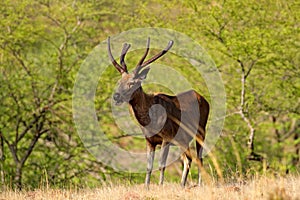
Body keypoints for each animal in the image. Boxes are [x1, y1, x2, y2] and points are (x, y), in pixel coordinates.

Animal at [107, 36, 209, 188]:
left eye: (132, 83)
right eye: (119, 81)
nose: (116, 96)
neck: (150, 122)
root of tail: (203, 99)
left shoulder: (167, 137)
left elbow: (161, 165)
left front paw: (160, 185)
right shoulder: (149, 140)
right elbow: (149, 166)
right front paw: (146, 187)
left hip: (201, 131)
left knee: (199, 158)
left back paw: (199, 184)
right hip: (183, 139)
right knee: (189, 159)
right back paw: (182, 185)